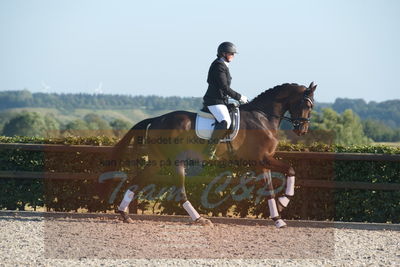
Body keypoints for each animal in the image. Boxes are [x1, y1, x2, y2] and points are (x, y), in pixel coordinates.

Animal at [105, 81, 316, 228]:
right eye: (307, 104)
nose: (302, 130)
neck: (262, 117)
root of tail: (156, 119)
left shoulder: (262, 163)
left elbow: (270, 189)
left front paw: (278, 218)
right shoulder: (261, 159)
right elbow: (290, 169)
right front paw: (284, 201)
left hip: (158, 161)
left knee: (136, 182)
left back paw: (124, 214)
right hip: (175, 161)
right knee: (179, 191)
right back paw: (199, 219)